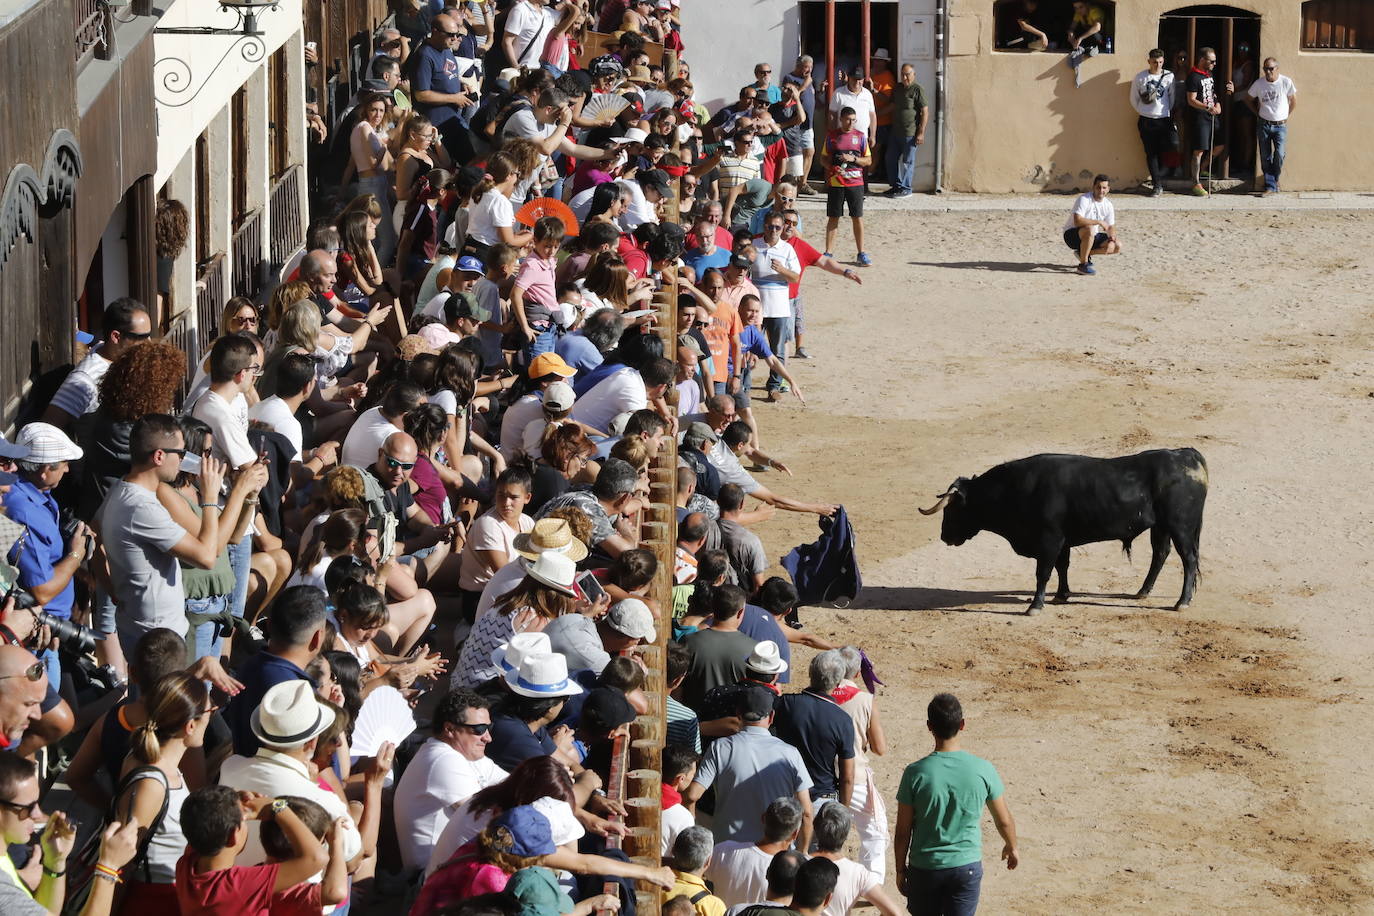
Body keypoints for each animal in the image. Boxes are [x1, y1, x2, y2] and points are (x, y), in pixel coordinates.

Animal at [923, 450, 1203, 615]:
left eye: (952, 510)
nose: (944, 537)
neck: (1016, 490)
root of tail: (1187, 455)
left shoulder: (1049, 540)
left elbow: (1043, 572)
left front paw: (1035, 606)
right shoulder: (1063, 541)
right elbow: (1062, 566)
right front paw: (1061, 595)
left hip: (1180, 526)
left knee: (1188, 559)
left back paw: (1182, 602)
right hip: (1162, 526)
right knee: (1160, 554)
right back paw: (1143, 592)